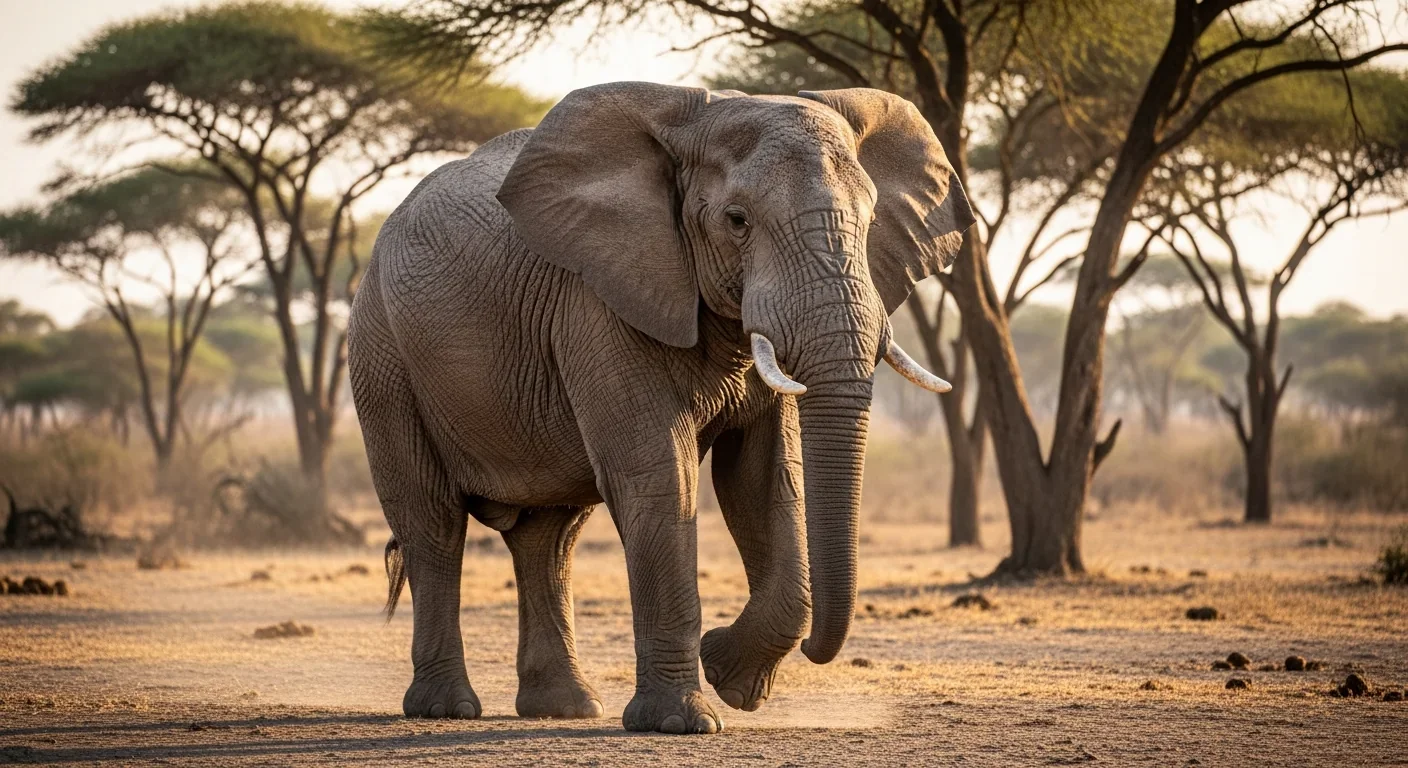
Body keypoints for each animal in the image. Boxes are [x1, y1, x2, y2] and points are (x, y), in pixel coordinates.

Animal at [347, 81, 974, 734]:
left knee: (550, 535)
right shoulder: (600, 300)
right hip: (383, 354)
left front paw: (731, 677)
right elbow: (659, 478)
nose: (814, 650)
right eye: (737, 221)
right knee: (433, 522)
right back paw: (448, 708)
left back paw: (566, 708)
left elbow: (762, 480)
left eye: (871, 219)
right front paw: (684, 720)